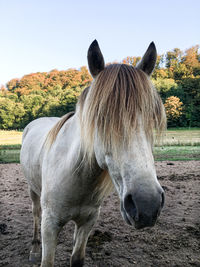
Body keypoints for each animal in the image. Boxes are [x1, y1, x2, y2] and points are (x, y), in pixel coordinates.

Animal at [20, 40, 166, 267]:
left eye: (152, 117)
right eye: (101, 117)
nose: (147, 205)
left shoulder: (88, 221)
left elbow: (77, 258)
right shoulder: (50, 224)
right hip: (33, 190)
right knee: (35, 213)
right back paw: (34, 249)